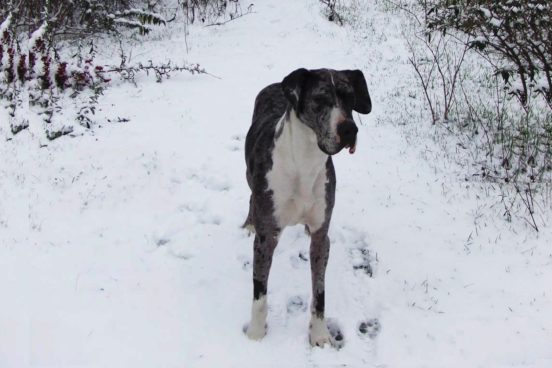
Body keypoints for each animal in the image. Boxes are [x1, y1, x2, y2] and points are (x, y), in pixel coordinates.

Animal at [242, 67, 370, 346]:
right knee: (250, 196)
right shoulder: (266, 238)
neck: (304, 161)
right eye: (320, 99)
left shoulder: (322, 237)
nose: (349, 129)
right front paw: (256, 334)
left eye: (350, 97)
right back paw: (248, 222)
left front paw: (320, 334)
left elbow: (319, 293)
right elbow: (259, 294)